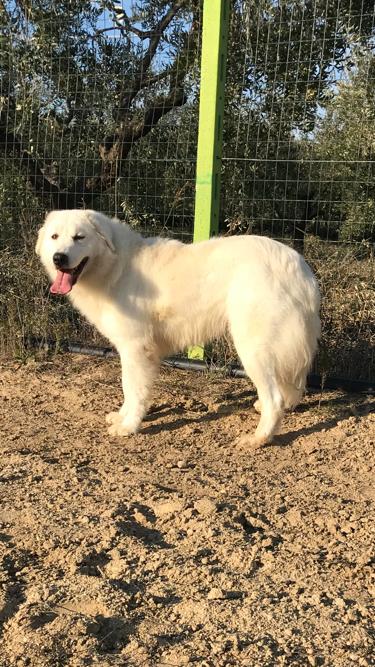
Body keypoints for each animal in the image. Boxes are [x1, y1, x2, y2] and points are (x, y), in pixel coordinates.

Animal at [36, 211, 322, 446]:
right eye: (54, 236)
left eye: (79, 237)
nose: (59, 258)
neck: (117, 267)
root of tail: (301, 268)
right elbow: (130, 391)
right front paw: (122, 416)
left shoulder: (135, 348)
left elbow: (133, 389)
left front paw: (129, 426)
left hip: (253, 348)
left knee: (275, 398)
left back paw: (258, 438)